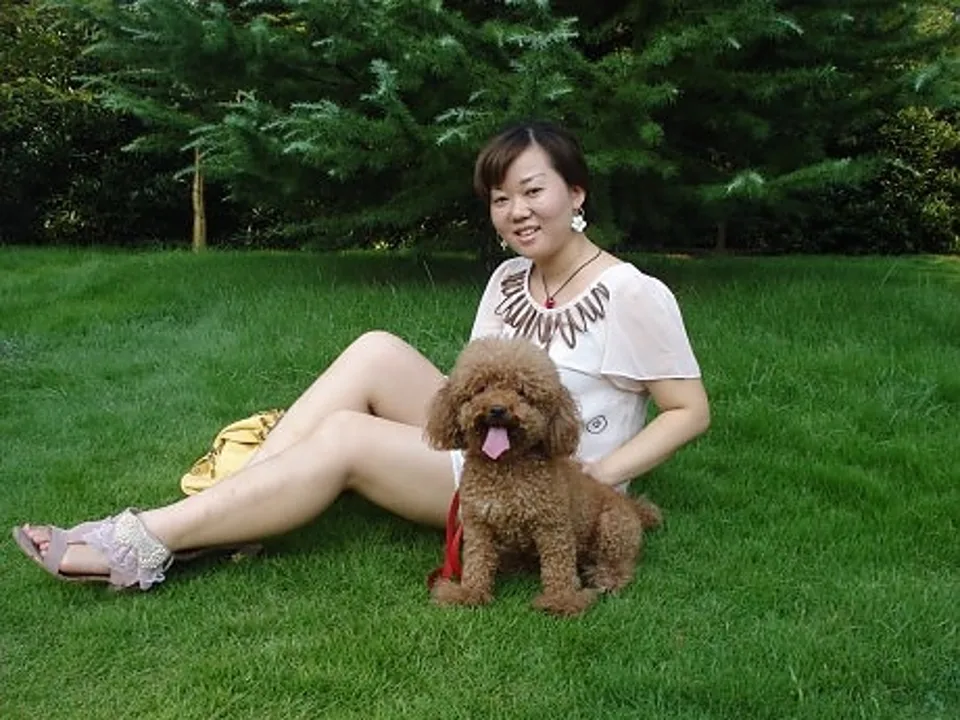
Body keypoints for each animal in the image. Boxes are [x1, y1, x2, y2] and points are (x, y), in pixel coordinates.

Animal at [424, 336, 662, 616]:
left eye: (522, 392)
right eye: (481, 388)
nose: (497, 409)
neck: (506, 467)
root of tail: (634, 508)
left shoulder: (553, 526)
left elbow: (558, 567)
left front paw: (562, 601)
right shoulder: (478, 525)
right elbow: (477, 561)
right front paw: (468, 593)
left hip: (612, 526)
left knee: (620, 566)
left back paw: (606, 578)